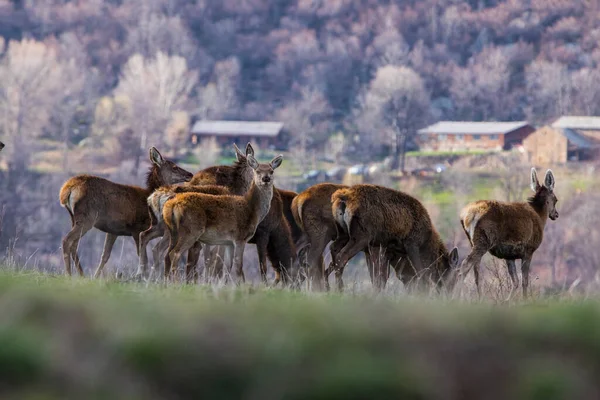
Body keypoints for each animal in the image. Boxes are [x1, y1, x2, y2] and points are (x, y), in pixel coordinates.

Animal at [57, 148, 191, 278]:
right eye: (174, 167)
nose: (190, 174)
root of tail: (66, 189)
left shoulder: (113, 231)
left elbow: (105, 256)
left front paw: (95, 277)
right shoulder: (136, 228)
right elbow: (141, 254)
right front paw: (143, 274)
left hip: (74, 218)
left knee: (74, 244)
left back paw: (81, 274)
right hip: (87, 218)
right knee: (67, 240)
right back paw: (68, 274)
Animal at [137, 143, 253, 278]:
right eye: (174, 167)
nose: (189, 174)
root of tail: (154, 196)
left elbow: (207, 259)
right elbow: (216, 260)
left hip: (159, 225)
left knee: (144, 236)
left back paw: (144, 273)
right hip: (171, 230)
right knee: (161, 250)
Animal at [162, 154, 284, 284]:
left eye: (271, 171)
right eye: (257, 170)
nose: (266, 178)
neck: (252, 210)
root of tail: (171, 204)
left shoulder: (228, 242)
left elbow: (227, 266)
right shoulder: (240, 237)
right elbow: (238, 266)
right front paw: (241, 285)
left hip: (173, 231)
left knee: (167, 254)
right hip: (191, 230)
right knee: (175, 253)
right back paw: (176, 282)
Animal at [328, 184, 460, 290]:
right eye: (456, 274)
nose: (450, 292)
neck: (427, 242)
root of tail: (343, 198)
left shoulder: (383, 248)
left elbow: (380, 277)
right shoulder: (412, 243)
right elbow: (421, 272)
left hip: (343, 234)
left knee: (333, 249)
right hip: (361, 235)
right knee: (341, 256)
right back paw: (340, 288)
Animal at [460, 166, 556, 296]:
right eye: (556, 199)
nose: (556, 214)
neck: (540, 217)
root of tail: (467, 216)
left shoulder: (509, 255)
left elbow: (515, 281)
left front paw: (508, 299)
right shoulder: (529, 250)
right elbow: (524, 281)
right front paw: (525, 298)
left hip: (472, 241)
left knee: (476, 269)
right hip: (483, 240)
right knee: (465, 264)